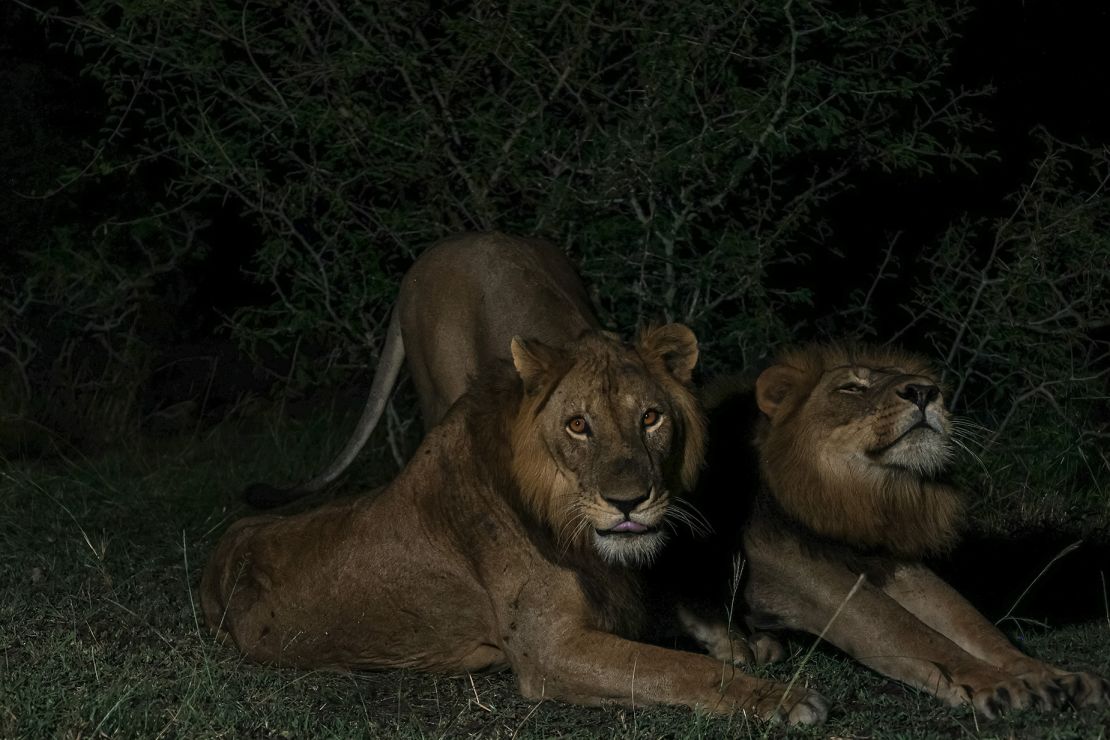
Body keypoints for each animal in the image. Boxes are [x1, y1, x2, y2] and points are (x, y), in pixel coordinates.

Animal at [199, 328, 830, 723]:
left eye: (650, 417)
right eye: (578, 425)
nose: (630, 502)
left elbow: (675, 608)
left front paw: (743, 640)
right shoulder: (549, 650)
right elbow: (673, 669)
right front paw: (781, 697)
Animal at [661, 343, 1105, 718]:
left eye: (924, 383)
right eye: (852, 387)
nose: (925, 391)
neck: (862, 494)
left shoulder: (888, 560)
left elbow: (971, 624)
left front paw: (1052, 675)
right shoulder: (797, 569)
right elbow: (906, 631)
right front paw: (1000, 684)